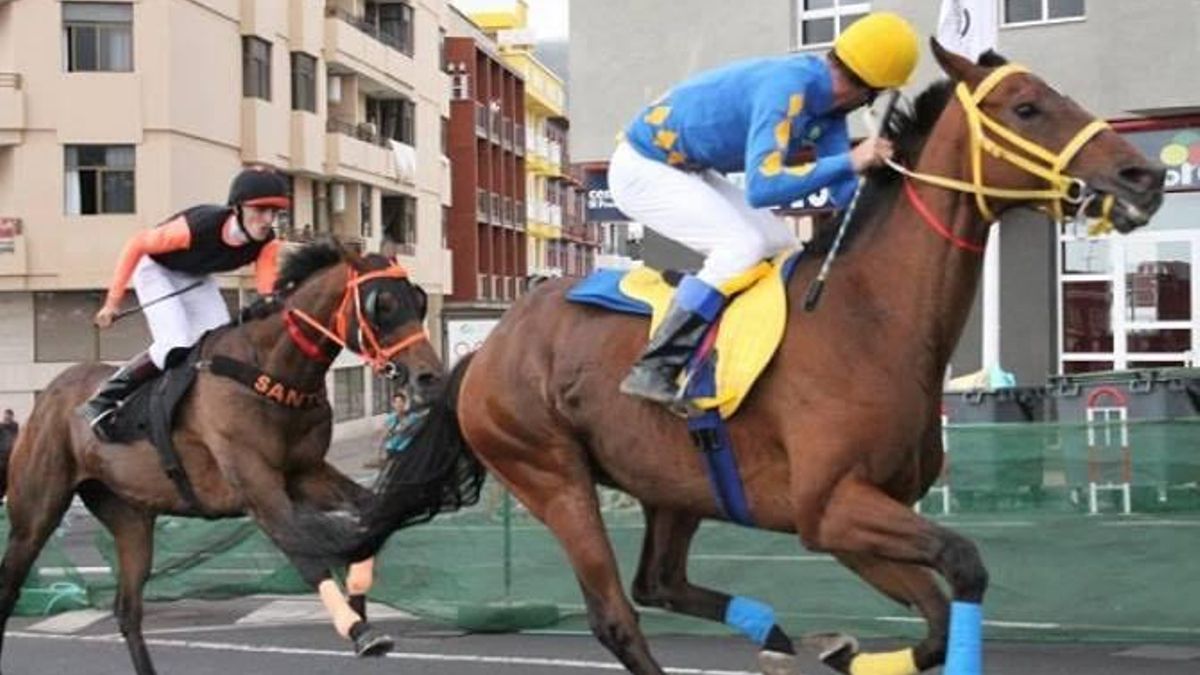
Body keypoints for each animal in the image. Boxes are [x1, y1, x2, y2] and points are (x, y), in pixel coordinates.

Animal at [0, 242, 485, 674]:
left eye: (418, 301)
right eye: (380, 304)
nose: (428, 378)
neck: (270, 375)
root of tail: (53, 393)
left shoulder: (307, 473)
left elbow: (370, 514)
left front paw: (361, 591)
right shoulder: (256, 485)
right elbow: (301, 545)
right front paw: (360, 630)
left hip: (130, 517)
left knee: (127, 610)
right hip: (36, 512)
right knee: (10, 589)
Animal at [416, 42, 1164, 675]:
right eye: (1027, 107)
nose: (1145, 173)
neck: (868, 317)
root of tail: (489, 347)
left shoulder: (851, 520)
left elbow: (938, 617)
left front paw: (845, 648)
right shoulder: (830, 506)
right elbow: (963, 566)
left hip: (674, 480)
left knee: (658, 581)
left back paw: (770, 630)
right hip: (551, 474)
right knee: (616, 615)